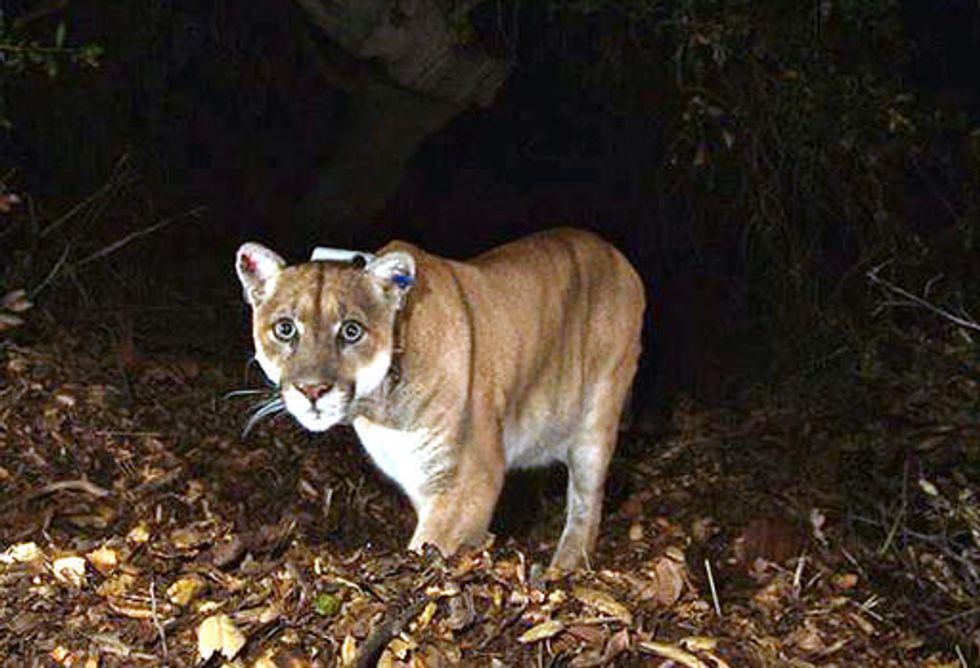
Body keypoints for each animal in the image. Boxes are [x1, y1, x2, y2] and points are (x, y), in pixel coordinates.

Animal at [233, 230, 640, 568]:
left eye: (351, 331)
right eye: (285, 328)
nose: (312, 390)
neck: (380, 409)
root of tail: (615, 252)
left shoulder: (469, 478)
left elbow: (430, 546)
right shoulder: (421, 478)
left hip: (597, 419)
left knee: (587, 504)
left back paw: (565, 566)